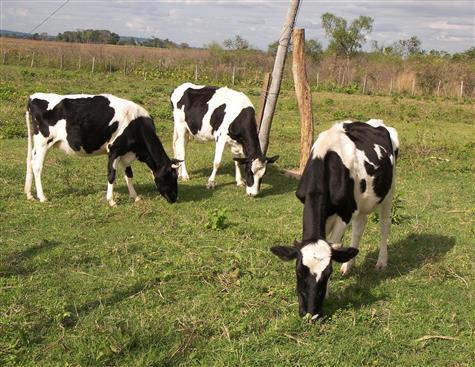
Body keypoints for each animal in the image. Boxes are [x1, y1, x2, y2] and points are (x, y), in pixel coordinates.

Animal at [24, 93, 180, 206]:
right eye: (169, 175)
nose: (174, 198)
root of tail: (33, 97)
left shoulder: (126, 152)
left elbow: (129, 174)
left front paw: (135, 196)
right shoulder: (114, 150)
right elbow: (111, 175)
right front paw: (111, 200)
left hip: (37, 144)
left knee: (30, 162)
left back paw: (30, 195)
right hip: (43, 142)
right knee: (37, 166)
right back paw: (42, 197)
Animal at [270, 120, 400, 320]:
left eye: (327, 273)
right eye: (299, 271)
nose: (311, 313)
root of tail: (377, 123)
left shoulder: (344, 213)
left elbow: (335, 243)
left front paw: (329, 292)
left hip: (388, 192)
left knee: (384, 226)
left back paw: (381, 262)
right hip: (361, 202)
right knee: (359, 227)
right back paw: (348, 265)